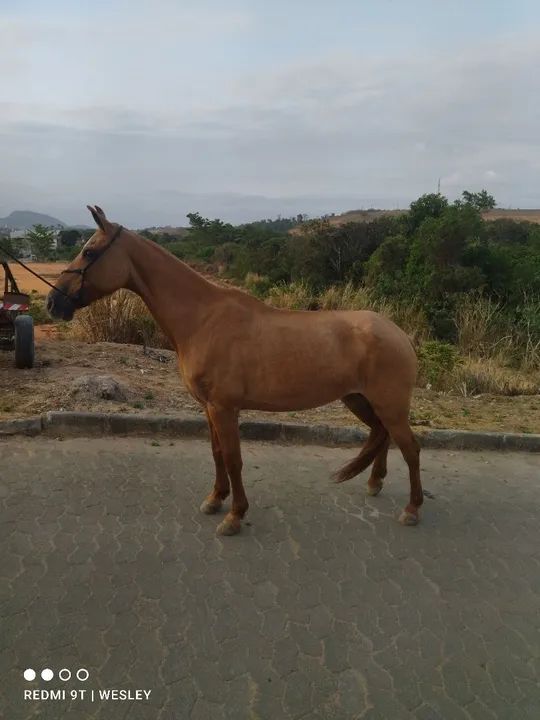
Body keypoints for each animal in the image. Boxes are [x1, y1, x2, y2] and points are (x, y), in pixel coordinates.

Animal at [47, 206, 423, 536]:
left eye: (89, 252)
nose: (54, 303)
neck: (203, 319)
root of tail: (400, 333)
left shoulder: (224, 408)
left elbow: (232, 458)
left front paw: (234, 517)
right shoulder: (209, 408)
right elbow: (217, 455)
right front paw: (215, 500)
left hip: (387, 404)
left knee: (410, 447)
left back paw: (412, 509)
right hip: (359, 399)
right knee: (381, 434)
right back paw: (374, 482)